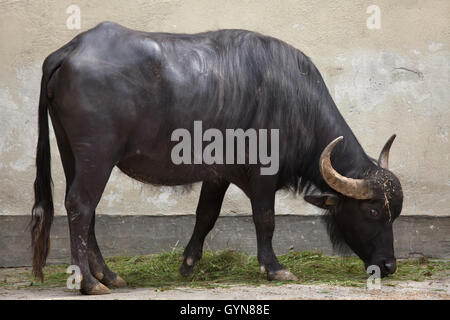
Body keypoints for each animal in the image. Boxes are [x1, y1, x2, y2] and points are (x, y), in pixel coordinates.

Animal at [31, 21, 404, 294]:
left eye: (395, 214)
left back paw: (109, 276)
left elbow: (205, 215)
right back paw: (89, 282)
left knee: (86, 210)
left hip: (71, 154)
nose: (388, 266)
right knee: (80, 206)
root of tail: (69, 50)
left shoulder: (218, 174)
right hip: (98, 155)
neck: (293, 101)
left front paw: (188, 264)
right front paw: (275, 268)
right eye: (373, 211)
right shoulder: (263, 173)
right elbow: (265, 219)